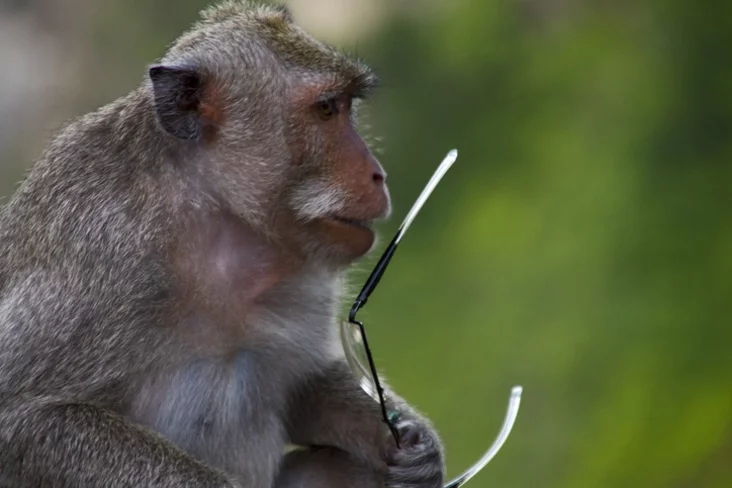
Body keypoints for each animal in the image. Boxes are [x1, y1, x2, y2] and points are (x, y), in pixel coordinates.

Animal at [0, 2, 445, 487]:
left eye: (346, 107)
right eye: (327, 109)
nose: (377, 173)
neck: (212, 217)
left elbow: (304, 384)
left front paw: (411, 443)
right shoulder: (102, 256)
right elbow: (27, 415)